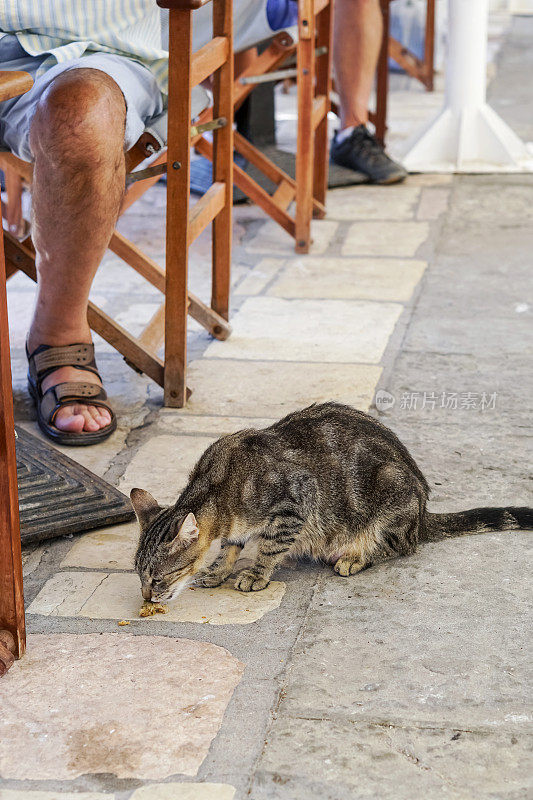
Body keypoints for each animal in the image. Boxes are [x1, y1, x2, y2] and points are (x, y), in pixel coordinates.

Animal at [131, 404, 528, 604]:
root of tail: (423, 512)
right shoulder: (236, 528)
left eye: (158, 578)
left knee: (401, 546)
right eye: (140, 577)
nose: (147, 597)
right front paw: (216, 570)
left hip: (389, 490)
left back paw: (355, 557)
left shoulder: (295, 505)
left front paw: (256, 574)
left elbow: (268, 550)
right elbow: (230, 546)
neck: (219, 490)